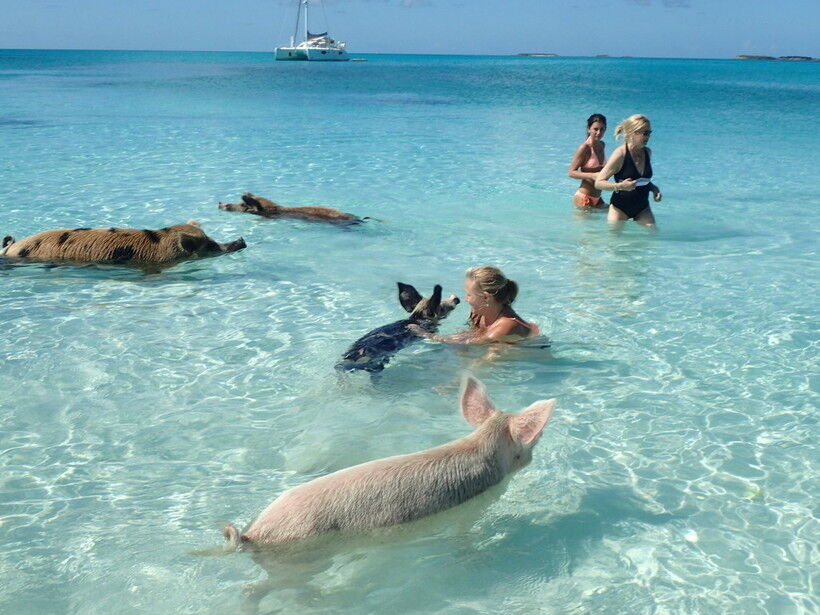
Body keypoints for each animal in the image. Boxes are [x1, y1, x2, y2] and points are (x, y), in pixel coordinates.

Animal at [221, 376, 556, 612]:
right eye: (528, 445)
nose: (533, 454)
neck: (482, 445)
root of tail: (251, 535)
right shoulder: (474, 507)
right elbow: (464, 537)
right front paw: (479, 559)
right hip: (300, 562)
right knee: (258, 589)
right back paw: (320, 600)